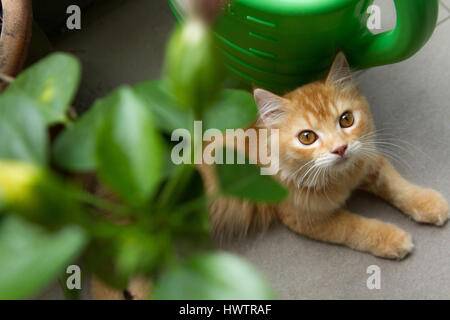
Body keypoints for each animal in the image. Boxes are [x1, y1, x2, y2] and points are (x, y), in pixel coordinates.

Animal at [202, 52, 448, 258]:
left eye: (346, 119)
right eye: (307, 137)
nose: (340, 149)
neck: (341, 178)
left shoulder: (368, 159)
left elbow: (396, 184)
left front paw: (428, 202)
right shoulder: (305, 218)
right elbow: (354, 226)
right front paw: (392, 238)